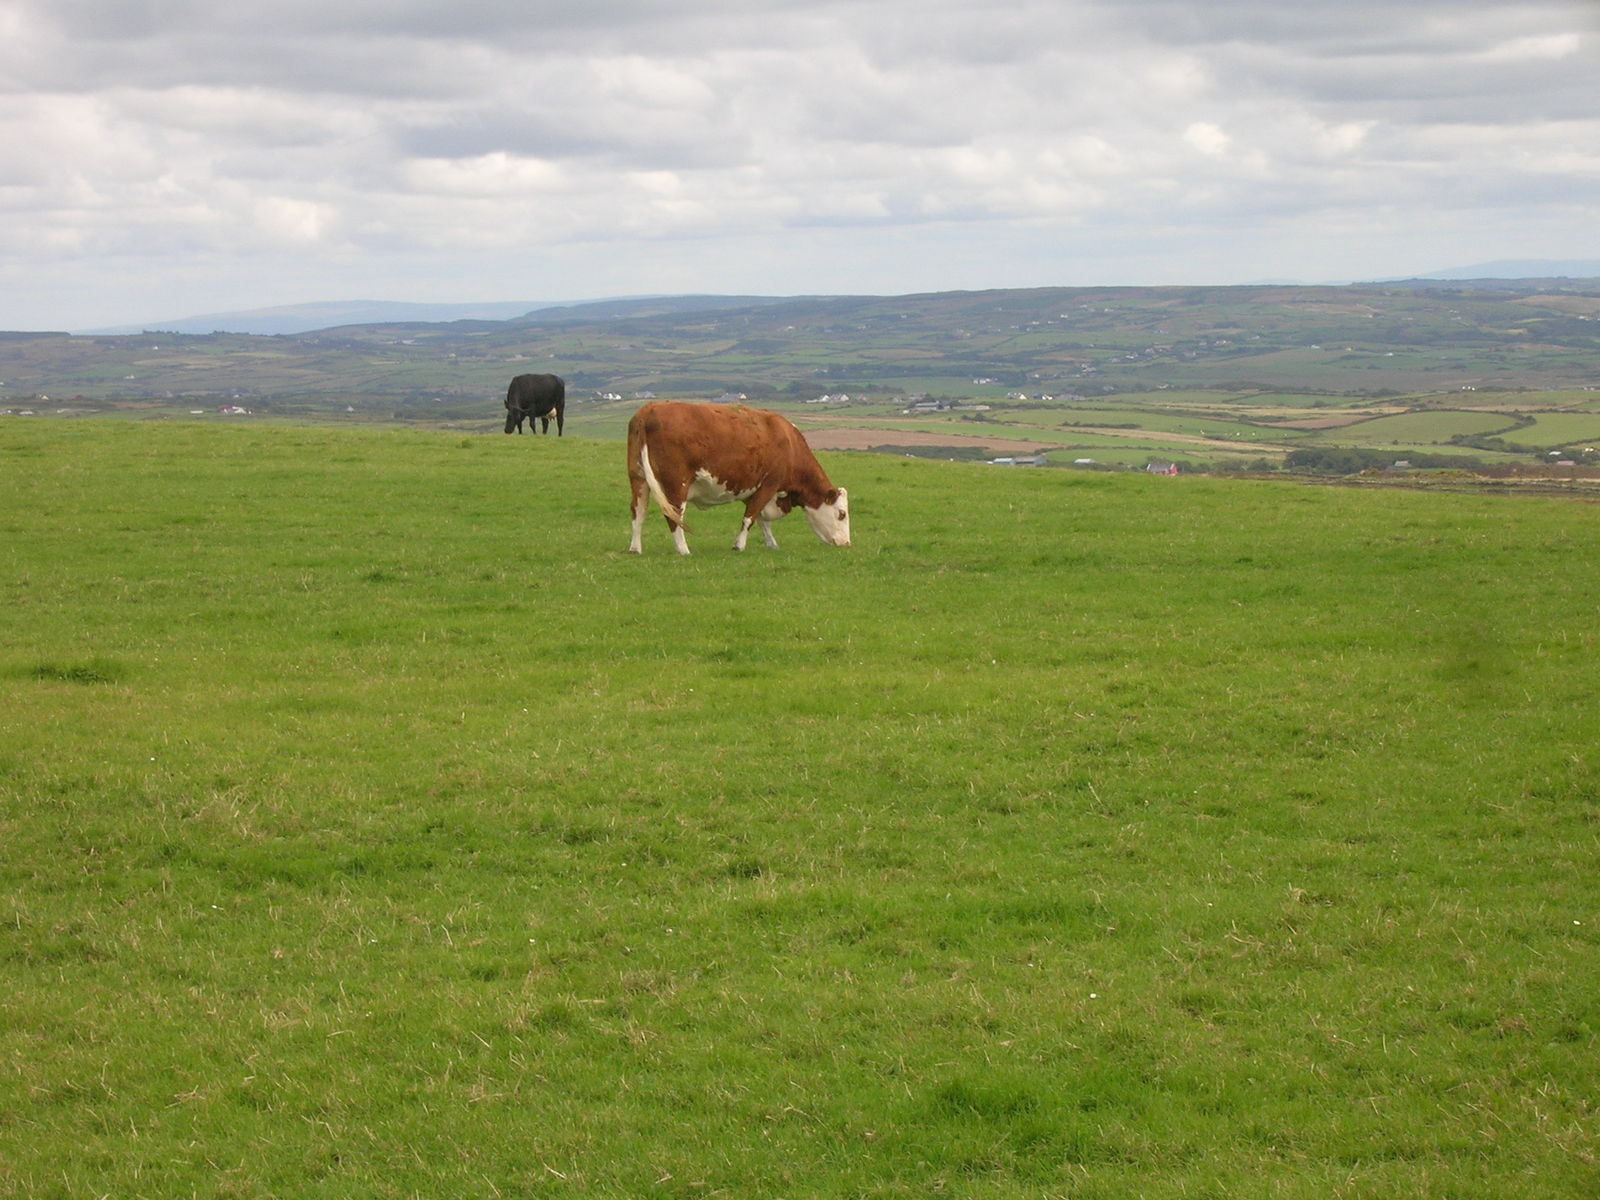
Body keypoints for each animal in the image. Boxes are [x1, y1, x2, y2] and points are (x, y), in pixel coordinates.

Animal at [624, 401, 851, 556]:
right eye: (842, 514)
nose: (846, 543)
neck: (789, 443)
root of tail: (650, 408)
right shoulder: (769, 484)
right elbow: (750, 517)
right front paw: (739, 545)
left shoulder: (753, 489)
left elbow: (761, 519)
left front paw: (771, 544)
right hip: (676, 486)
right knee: (674, 516)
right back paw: (683, 550)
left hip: (639, 479)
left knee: (638, 511)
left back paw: (635, 548)